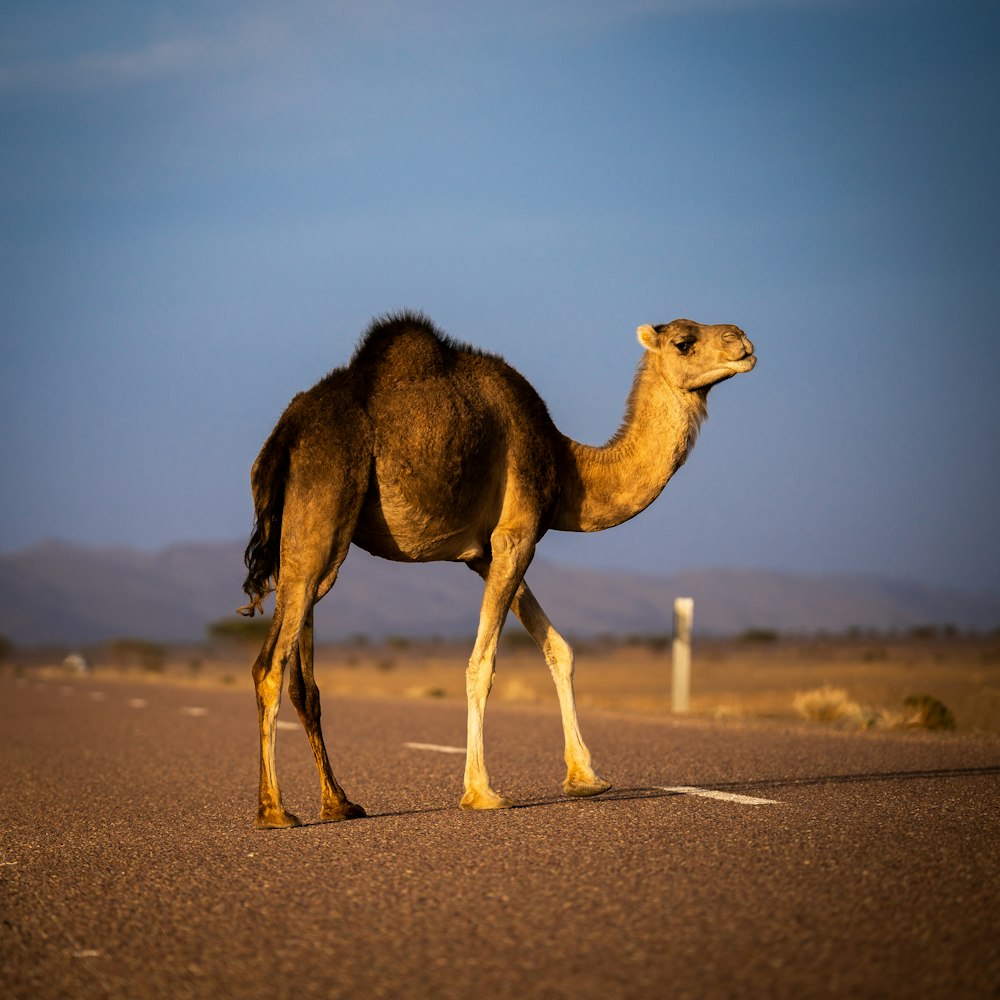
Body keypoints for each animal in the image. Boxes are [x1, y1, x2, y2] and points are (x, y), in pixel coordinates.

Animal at [242, 312, 752, 828]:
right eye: (684, 342)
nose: (743, 341)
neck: (568, 466)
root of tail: (284, 436)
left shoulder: (485, 553)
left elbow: (559, 649)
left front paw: (585, 777)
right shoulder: (517, 533)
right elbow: (482, 662)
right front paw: (482, 791)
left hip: (305, 539)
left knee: (303, 675)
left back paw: (339, 803)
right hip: (326, 505)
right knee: (270, 663)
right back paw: (274, 810)